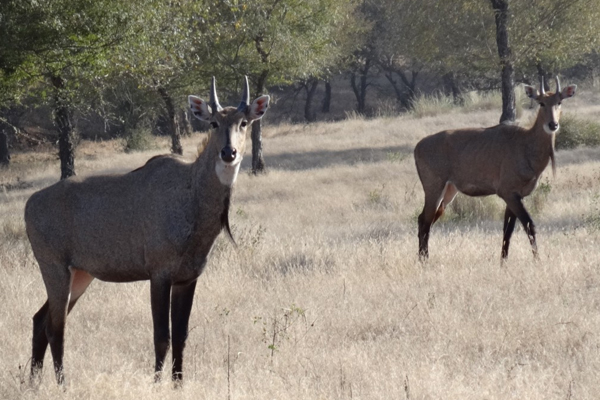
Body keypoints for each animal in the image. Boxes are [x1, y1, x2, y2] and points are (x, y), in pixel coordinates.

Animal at [25, 75, 270, 384]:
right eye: (214, 123)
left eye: (244, 122)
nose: (229, 152)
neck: (190, 196)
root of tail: (29, 205)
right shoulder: (159, 275)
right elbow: (161, 336)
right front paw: (156, 384)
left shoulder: (187, 279)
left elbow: (181, 336)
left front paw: (178, 384)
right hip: (55, 268)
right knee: (56, 328)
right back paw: (62, 386)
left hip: (80, 275)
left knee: (40, 320)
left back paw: (33, 384)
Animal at [412, 77, 576, 260]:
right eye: (541, 103)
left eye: (559, 102)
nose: (552, 124)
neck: (526, 144)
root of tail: (417, 147)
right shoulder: (508, 193)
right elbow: (529, 224)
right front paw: (537, 260)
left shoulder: (516, 196)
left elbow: (508, 231)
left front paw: (503, 262)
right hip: (434, 188)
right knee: (425, 221)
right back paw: (424, 261)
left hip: (448, 192)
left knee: (425, 219)